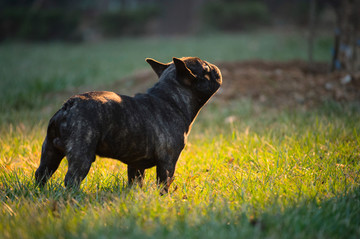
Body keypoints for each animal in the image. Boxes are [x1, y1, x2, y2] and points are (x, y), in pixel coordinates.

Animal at [35, 57, 222, 193]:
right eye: (206, 69)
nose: (216, 67)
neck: (170, 99)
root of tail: (69, 105)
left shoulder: (136, 163)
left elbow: (135, 181)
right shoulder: (168, 161)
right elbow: (164, 183)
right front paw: (164, 198)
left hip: (50, 152)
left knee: (42, 173)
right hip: (81, 155)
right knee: (72, 179)